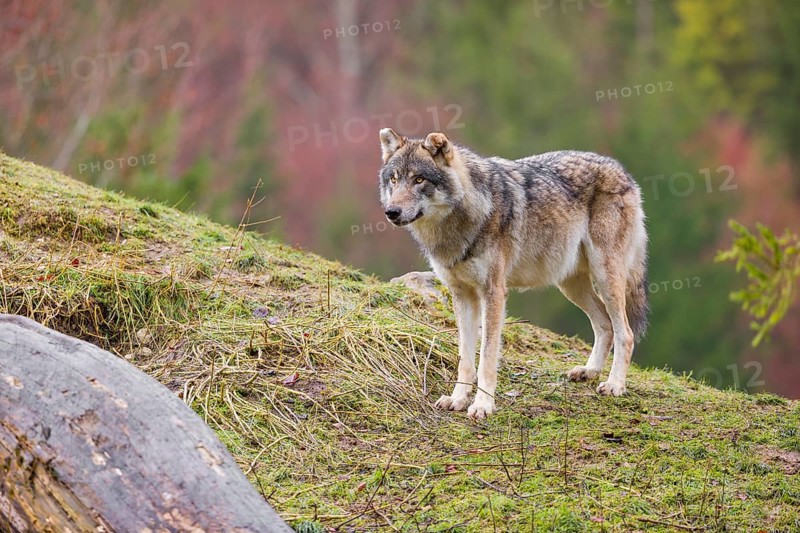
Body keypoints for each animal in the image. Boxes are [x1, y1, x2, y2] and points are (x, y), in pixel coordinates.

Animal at [378, 128, 649, 420]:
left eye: (419, 179)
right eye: (394, 179)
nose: (391, 212)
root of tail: (621, 169)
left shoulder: (493, 292)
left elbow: (486, 357)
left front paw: (482, 405)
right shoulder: (461, 295)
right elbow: (465, 359)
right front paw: (458, 399)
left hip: (605, 277)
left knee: (625, 332)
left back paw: (614, 384)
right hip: (571, 285)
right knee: (605, 324)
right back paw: (589, 371)